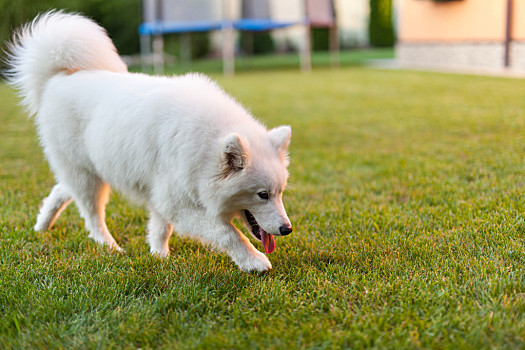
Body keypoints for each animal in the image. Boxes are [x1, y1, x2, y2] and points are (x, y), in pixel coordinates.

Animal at [5, 10, 290, 272]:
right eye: (262, 195)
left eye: (280, 192)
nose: (287, 229)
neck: (206, 146)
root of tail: (59, 77)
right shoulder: (175, 201)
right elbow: (227, 232)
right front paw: (253, 261)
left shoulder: (162, 196)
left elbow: (161, 228)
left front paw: (159, 255)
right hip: (87, 177)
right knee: (92, 216)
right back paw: (109, 247)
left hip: (88, 171)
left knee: (61, 190)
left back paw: (42, 225)